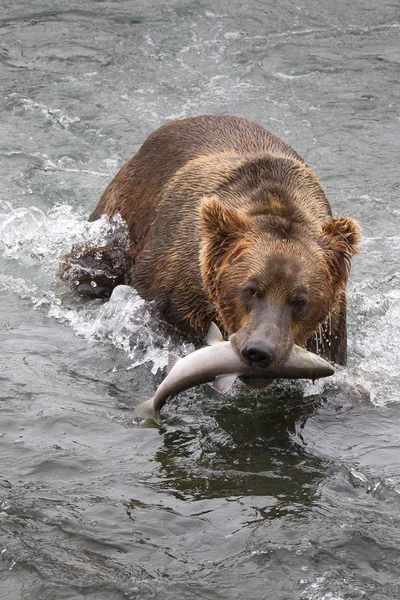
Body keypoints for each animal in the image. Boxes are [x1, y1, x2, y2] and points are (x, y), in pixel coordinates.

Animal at [60, 112, 362, 366]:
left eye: (300, 300)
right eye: (251, 289)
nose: (261, 350)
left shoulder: (328, 332)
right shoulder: (172, 289)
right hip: (125, 210)